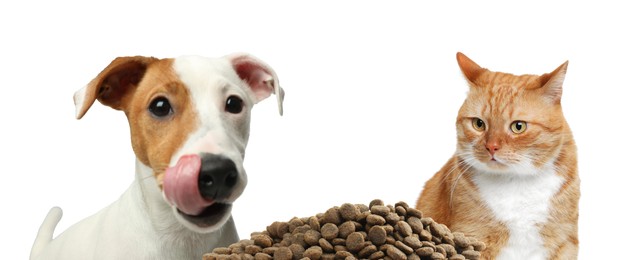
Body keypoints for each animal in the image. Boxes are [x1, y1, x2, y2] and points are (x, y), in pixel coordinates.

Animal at [416, 52, 580, 260]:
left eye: (518, 126)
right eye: (478, 124)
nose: (491, 147)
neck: (515, 183)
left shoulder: (564, 242)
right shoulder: (471, 237)